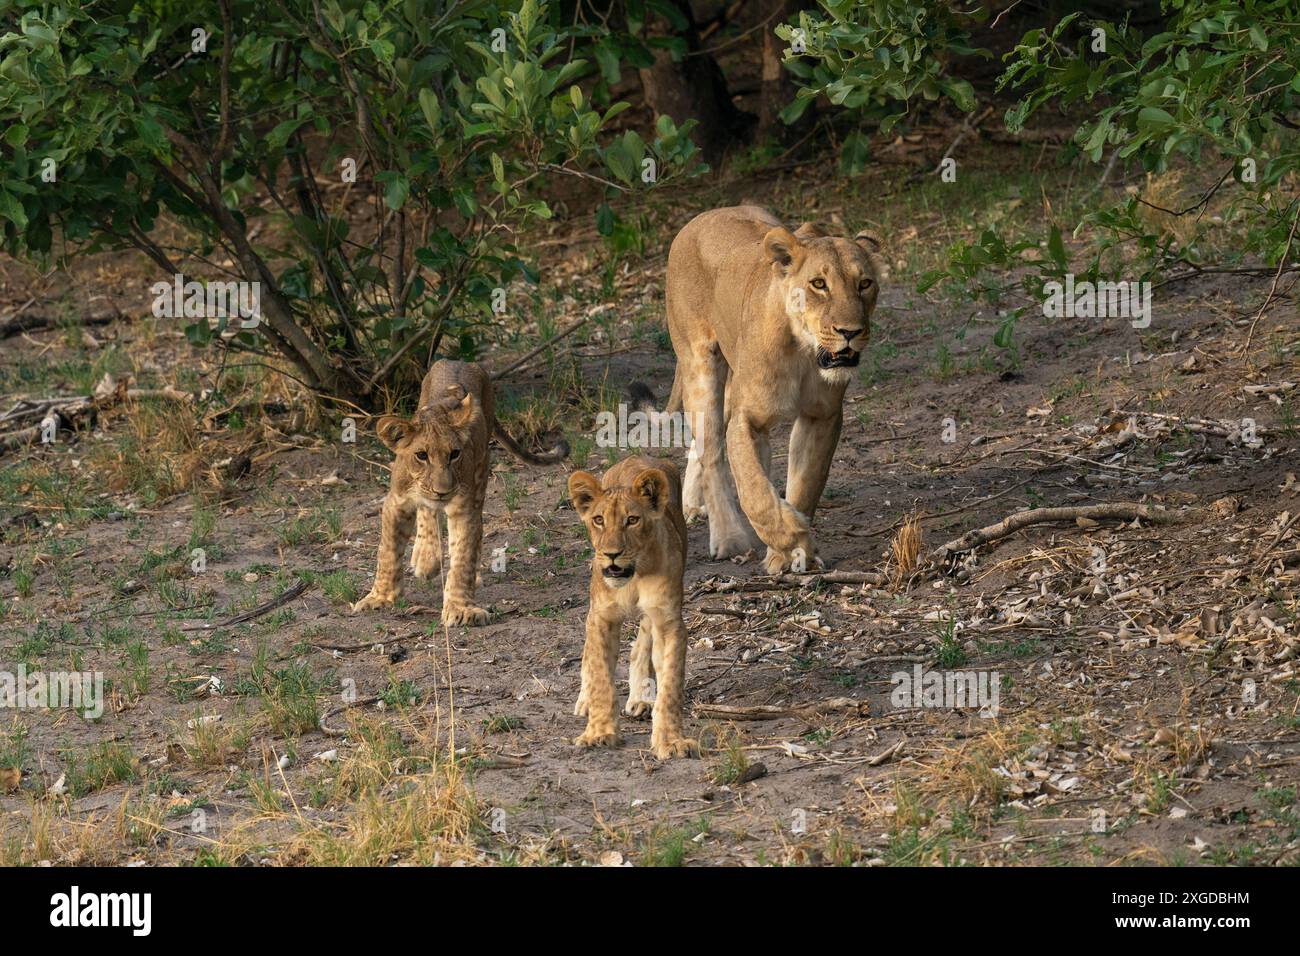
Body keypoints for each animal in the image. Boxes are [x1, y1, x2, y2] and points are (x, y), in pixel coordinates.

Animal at [352, 360, 567, 625]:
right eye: (421, 455)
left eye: (455, 454)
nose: (442, 490)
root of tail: (458, 361)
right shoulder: (397, 502)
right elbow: (388, 553)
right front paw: (380, 598)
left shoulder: (463, 506)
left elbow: (462, 555)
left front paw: (461, 609)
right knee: (427, 514)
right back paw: (426, 558)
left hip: (482, 469)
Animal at [567, 455, 698, 760]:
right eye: (599, 520)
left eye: (632, 520)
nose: (612, 554)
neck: (634, 575)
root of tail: (635, 457)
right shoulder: (601, 617)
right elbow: (600, 674)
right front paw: (598, 733)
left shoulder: (668, 620)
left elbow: (671, 684)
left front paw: (671, 740)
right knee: (588, 653)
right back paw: (585, 701)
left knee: (642, 645)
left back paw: (642, 698)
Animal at [662, 205, 883, 574]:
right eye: (819, 284)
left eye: (864, 283)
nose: (850, 332)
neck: (803, 353)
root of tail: (698, 218)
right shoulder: (746, 418)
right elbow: (754, 491)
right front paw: (791, 539)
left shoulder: (822, 416)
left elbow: (805, 484)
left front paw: (789, 553)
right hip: (700, 365)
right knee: (712, 451)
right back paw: (728, 538)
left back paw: (691, 503)